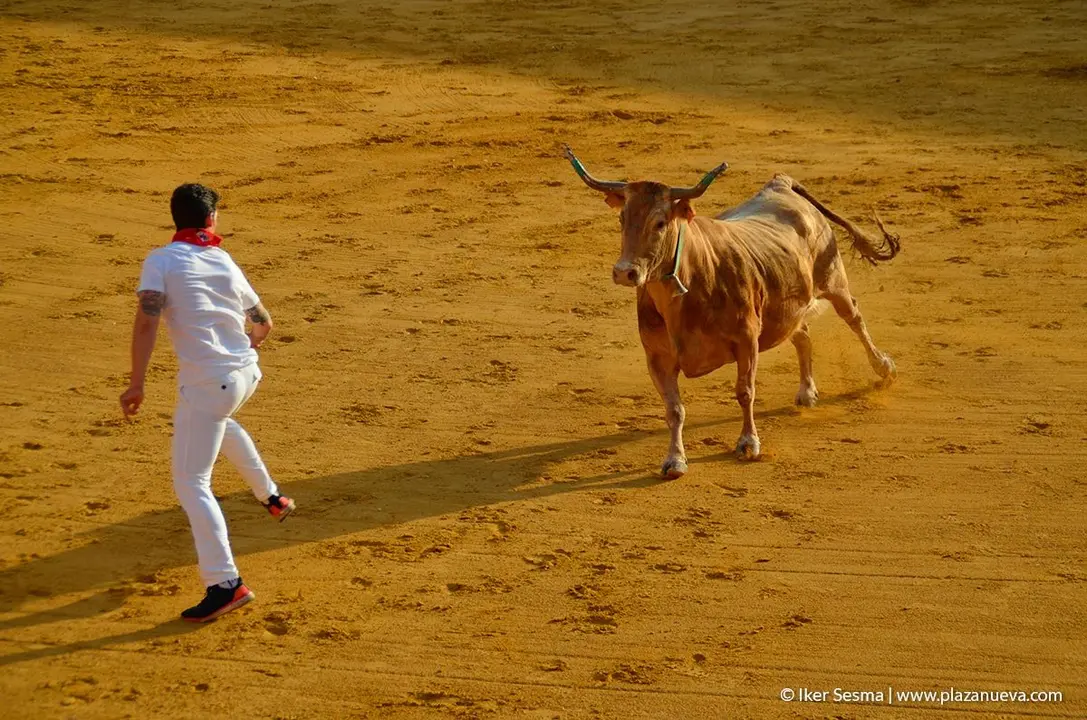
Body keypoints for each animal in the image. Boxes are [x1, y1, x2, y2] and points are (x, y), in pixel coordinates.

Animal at [562, 145, 900, 478]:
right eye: (622, 218)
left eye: (660, 222)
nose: (625, 272)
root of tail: (780, 184)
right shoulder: (657, 358)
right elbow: (674, 409)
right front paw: (675, 460)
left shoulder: (746, 340)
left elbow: (744, 391)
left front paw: (748, 443)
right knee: (801, 334)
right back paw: (807, 392)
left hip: (833, 279)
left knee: (854, 318)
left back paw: (884, 368)